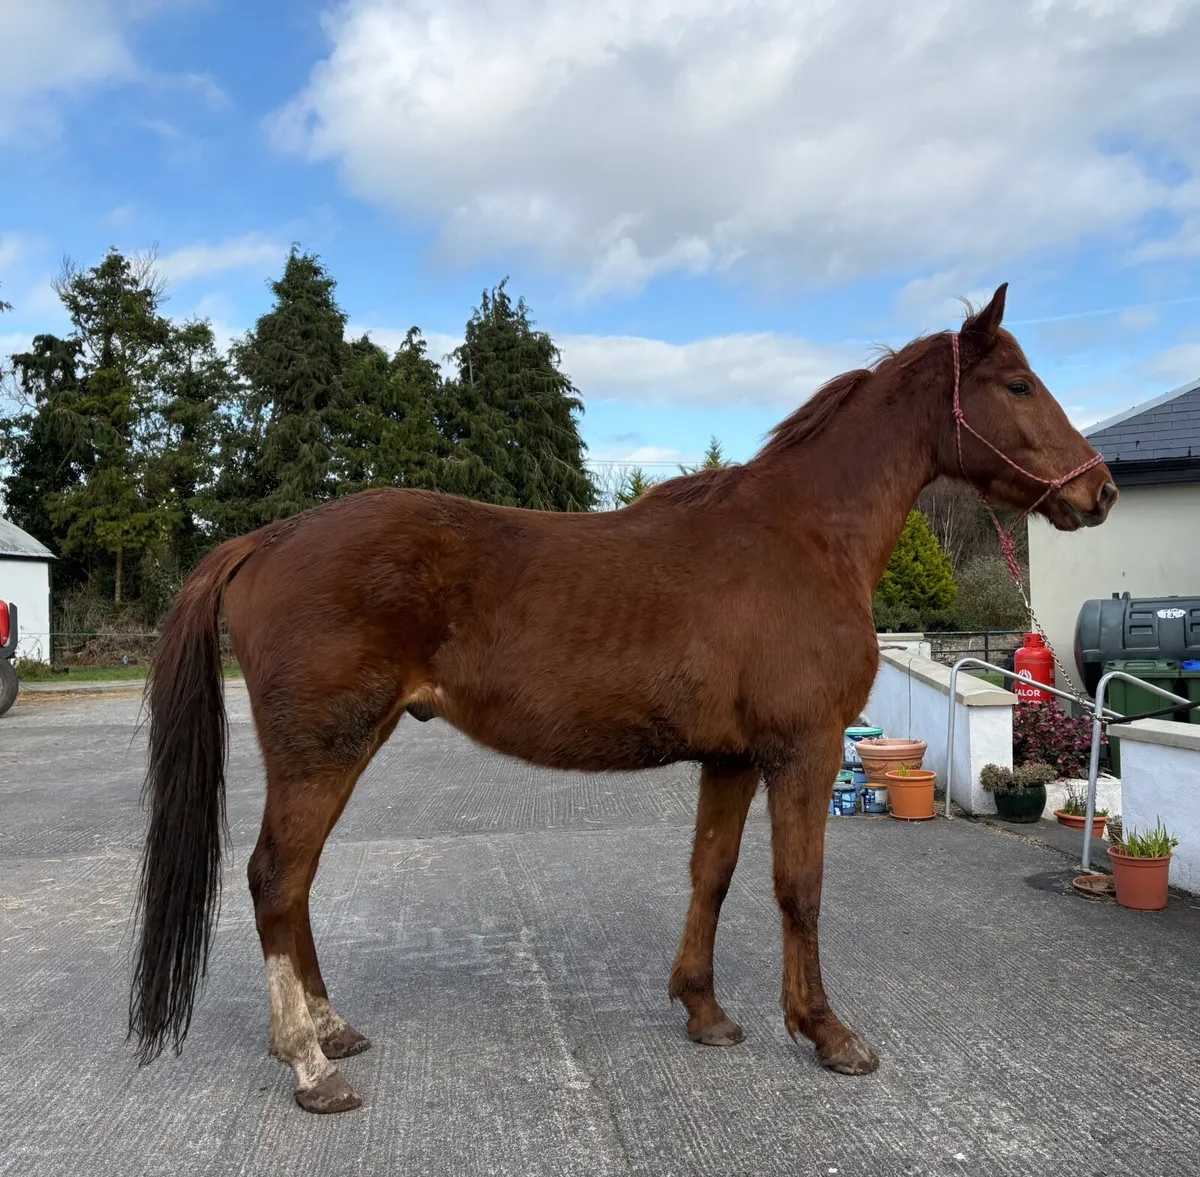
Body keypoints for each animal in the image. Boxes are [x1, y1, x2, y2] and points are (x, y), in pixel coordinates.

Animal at [128, 284, 1116, 1113]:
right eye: (1019, 383)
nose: (1099, 489)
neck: (803, 538)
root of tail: (267, 540)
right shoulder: (802, 748)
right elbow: (798, 887)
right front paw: (828, 1033)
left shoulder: (732, 758)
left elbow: (712, 873)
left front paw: (705, 1011)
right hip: (322, 750)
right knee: (273, 878)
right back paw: (309, 1062)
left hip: (343, 748)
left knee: (296, 884)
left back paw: (332, 1030)